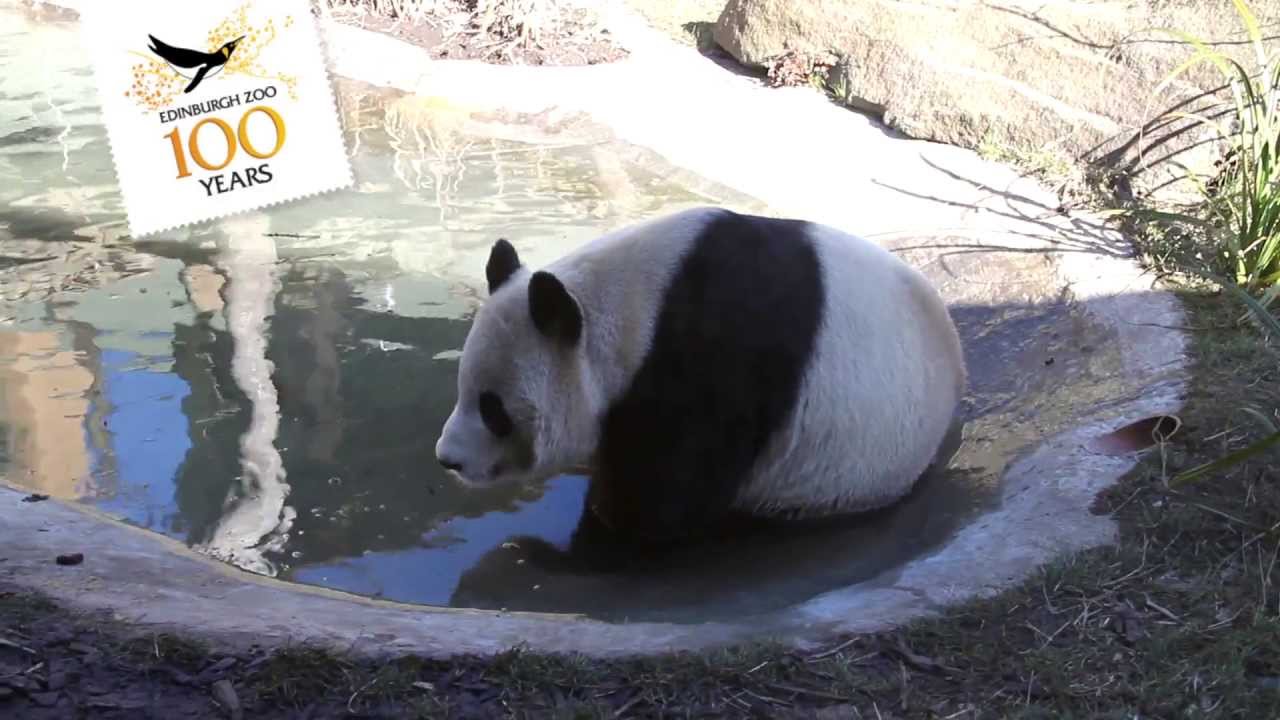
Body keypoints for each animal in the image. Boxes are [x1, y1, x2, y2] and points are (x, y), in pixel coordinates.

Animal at [435, 206, 967, 542]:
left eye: (494, 410)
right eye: (461, 389)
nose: (448, 459)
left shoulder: (708, 370)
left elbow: (661, 499)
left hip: (840, 474)